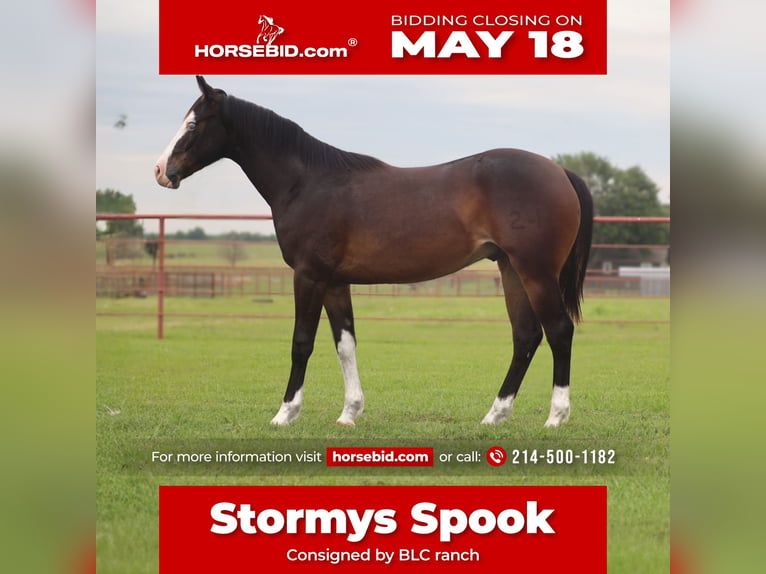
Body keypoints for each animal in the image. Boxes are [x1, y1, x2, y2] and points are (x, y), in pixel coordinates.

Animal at [155, 76, 593, 428]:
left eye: (193, 123)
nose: (161, 171)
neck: (308, 181)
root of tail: (560, 171)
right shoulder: (334, 282)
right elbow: (345, 344)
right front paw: (349, 412)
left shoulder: (308, 275)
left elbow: (301, 342)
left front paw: (285, 413)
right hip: (510, 270)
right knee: (525, 336)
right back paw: (494, 415)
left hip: (535, 272)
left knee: (558, 330)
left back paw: (555, 417)